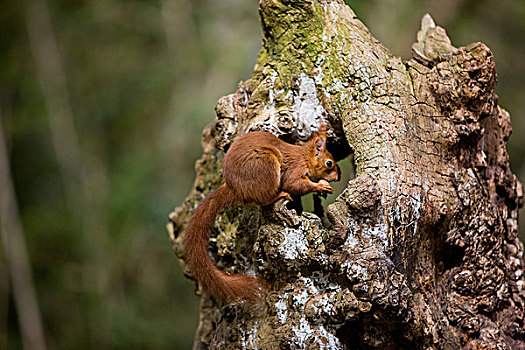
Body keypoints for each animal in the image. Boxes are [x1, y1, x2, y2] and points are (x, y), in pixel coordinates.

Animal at [184, 125, 340, 300]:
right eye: (329, 163)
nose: (337, 178)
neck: (304, 157)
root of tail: (233, 187)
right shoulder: (295, 169)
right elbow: (294, 184)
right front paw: (320, 186)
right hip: (266, 165)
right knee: (263, 199)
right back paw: (279, 195)